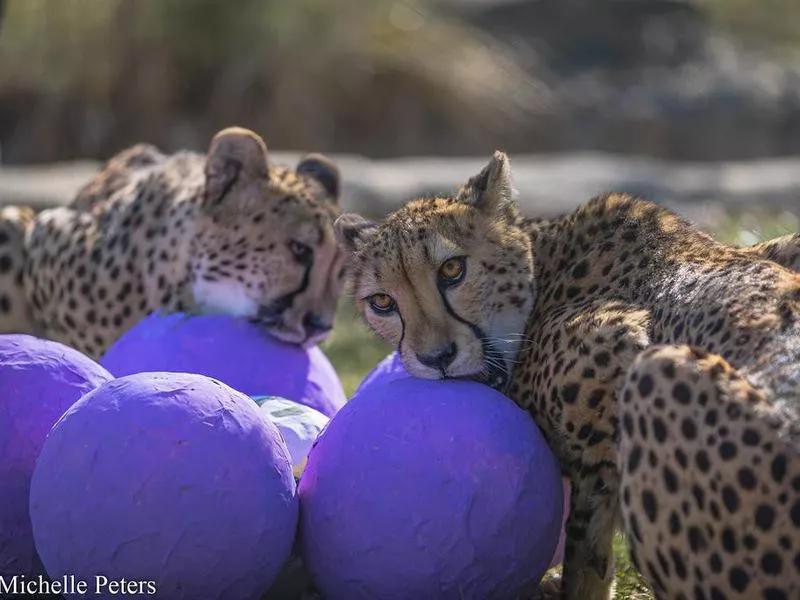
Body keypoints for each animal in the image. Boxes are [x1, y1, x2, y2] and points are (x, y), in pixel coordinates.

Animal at [334, 152, 800, 596]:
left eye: (452, 270)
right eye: (381, 302)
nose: (436, 358)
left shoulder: (616, 342)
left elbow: (585, 542)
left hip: (657, 370)